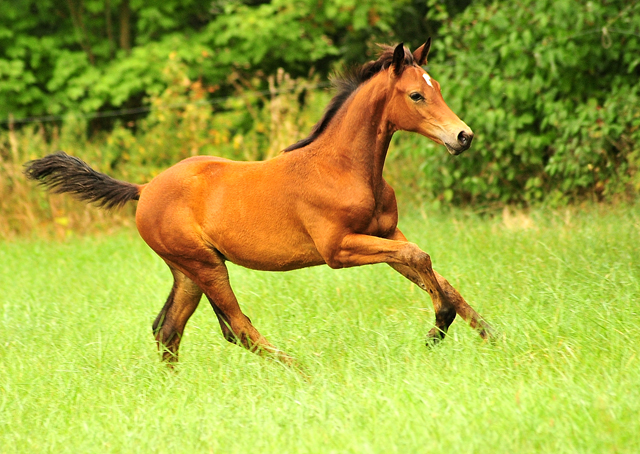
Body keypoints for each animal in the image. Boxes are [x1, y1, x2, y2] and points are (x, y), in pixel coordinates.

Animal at [25, 39, 496, 366]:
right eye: (417, 95)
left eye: (437, 88)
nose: (463, 136)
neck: (343, 168)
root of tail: (144, 188)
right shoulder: (339, 249)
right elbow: (422, 258)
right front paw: (438, 328)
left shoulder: (386, 234)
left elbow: (435, 273)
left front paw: (493, 337)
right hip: (205, 266)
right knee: (236, 328)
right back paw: (303, 370)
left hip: (188, 271)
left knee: (167, 330)